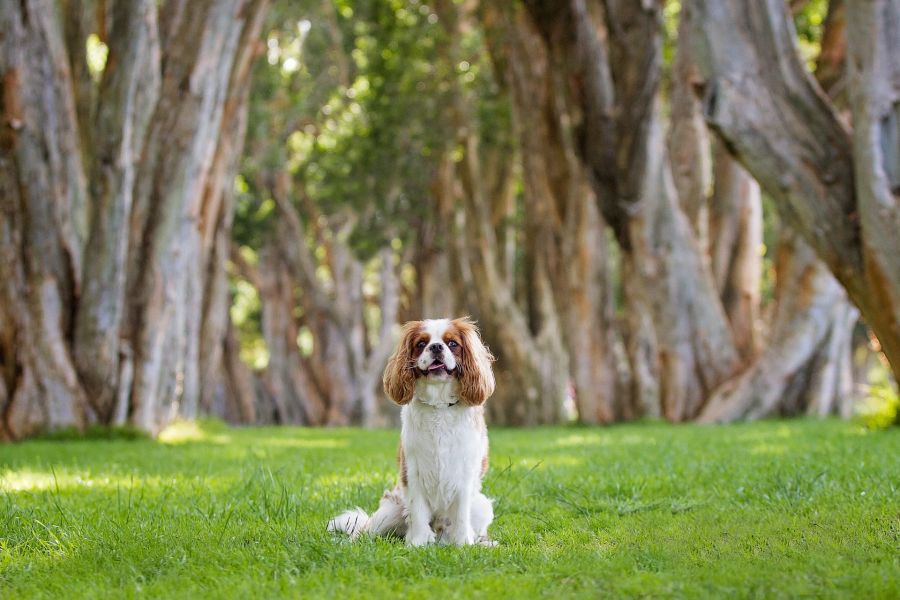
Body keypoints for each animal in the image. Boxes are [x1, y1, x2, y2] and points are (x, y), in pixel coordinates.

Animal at [330, 316, 496, 548]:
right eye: (421, 343)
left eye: (452, 343)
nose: (436, 347)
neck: (439, 405)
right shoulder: (413, 471)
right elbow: (417, 509)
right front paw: (417, 543)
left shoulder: (464, 472)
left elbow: (462, 515)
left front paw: (463, 543)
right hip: (389, 512)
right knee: (366, 529)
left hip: (482, 506)